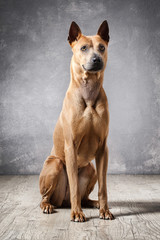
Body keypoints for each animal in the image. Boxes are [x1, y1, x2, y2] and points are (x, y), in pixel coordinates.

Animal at [39, 19, 114, 222]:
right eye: (83, 48)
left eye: (102, 47)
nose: (97, 60)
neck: (88, 91)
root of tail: (62, 202)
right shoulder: (71, 147)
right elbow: (73, 185)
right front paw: (77, 213)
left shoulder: (103, 149)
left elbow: (103, 187)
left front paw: (105, 210)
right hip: (55, 164)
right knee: (46, 196)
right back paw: (48, 206)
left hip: (91, 169)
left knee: (85, 195)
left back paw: (92, 204)